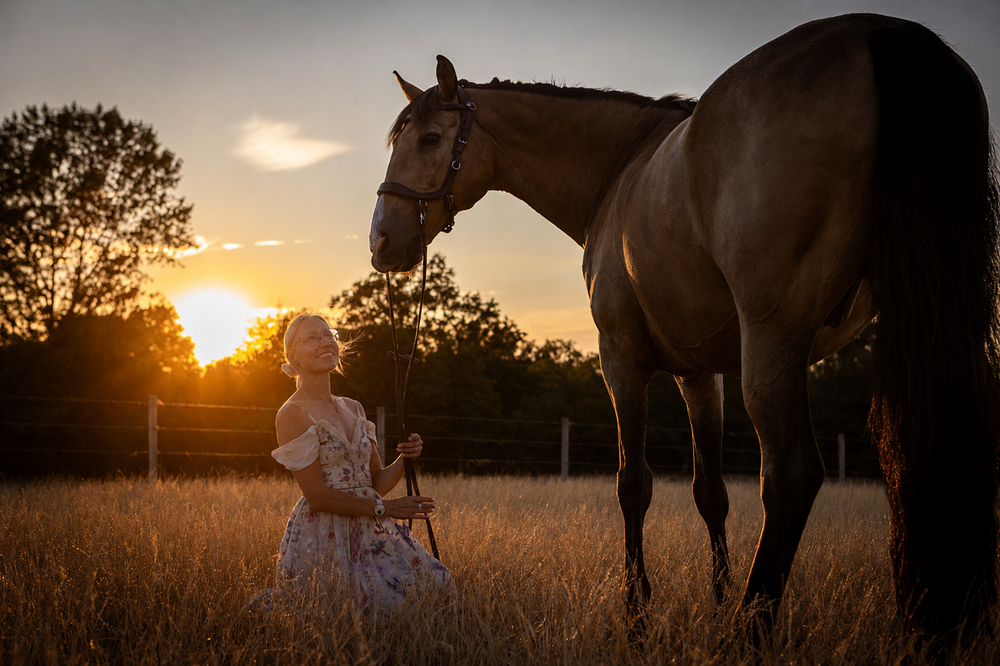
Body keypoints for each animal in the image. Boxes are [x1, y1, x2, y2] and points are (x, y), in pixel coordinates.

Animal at [369, 13, 1000, 638]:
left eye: (431, 139)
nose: (380, 241)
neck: (618, 171)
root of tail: (881, 33)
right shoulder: (700, 375)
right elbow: (710, 492)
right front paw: (715, 599)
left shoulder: (622, 358)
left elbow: (633, 485)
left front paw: (637, 614)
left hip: (773, 343)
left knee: (791, 476)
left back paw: (750, 628)